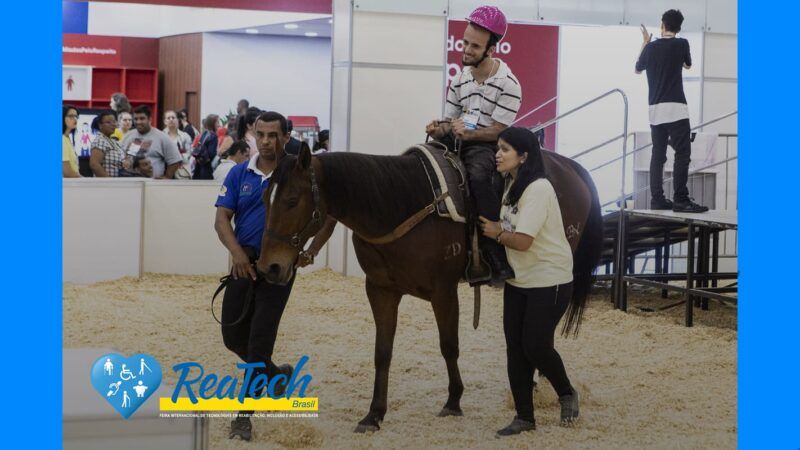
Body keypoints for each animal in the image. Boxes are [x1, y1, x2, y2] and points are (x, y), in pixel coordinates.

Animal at [256, 144, 600, 432]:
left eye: (291, 200)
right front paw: (374, 414)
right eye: (264, 200)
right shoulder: (380, 291)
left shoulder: (443, 292)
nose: (269, 267)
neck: (400, 205)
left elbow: (449, 346)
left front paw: (453, 401)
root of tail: (569, 166)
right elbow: (382, 352)